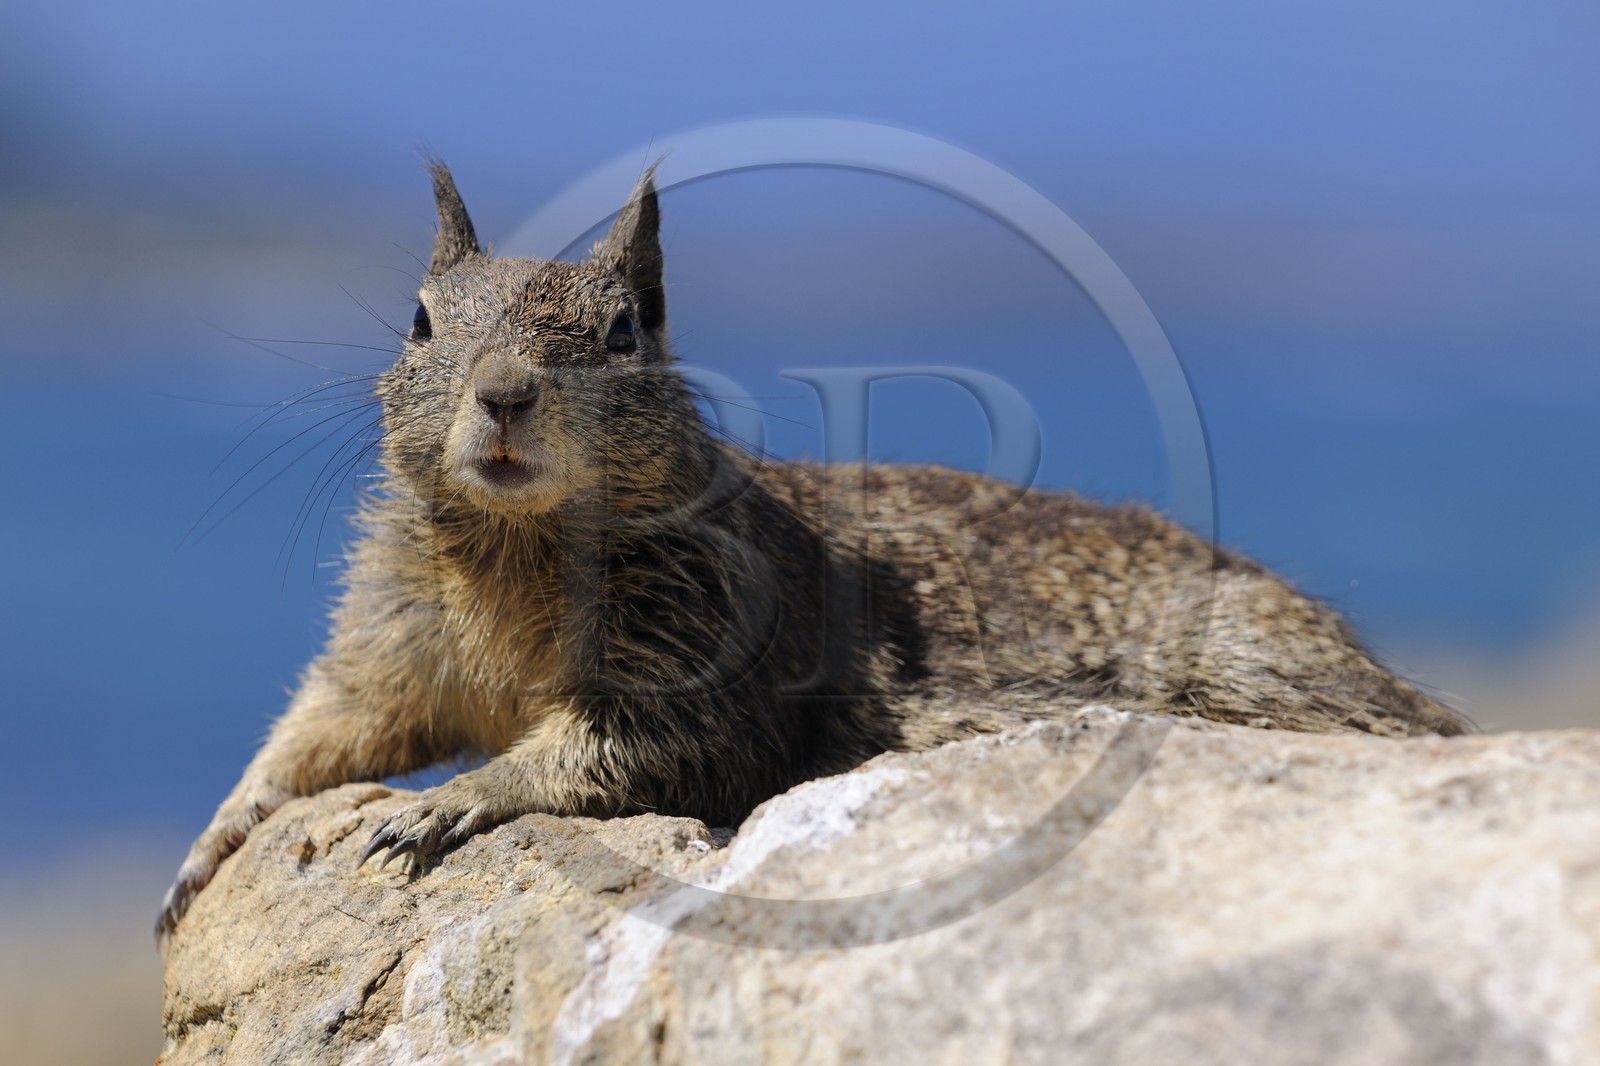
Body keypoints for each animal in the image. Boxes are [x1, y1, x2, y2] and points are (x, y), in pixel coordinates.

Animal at [156, 163, 1469, 942]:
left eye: (625, 329)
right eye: (420, 321)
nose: (506, 394)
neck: (514, 550)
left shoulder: (703, 658)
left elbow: (625, 747)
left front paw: (463, 796)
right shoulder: (390, 638)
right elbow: (326, 723)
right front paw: (214, 838)